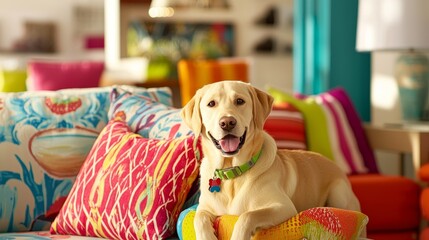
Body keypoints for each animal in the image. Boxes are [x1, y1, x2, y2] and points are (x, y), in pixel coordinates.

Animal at [179, 81, 360, 240]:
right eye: (211, 104)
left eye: (239, 101)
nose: (227, 123)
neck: (232, 172)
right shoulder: (203, 208)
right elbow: (199, 218)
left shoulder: (283, 206)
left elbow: (247, 216)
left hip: (339, 193)